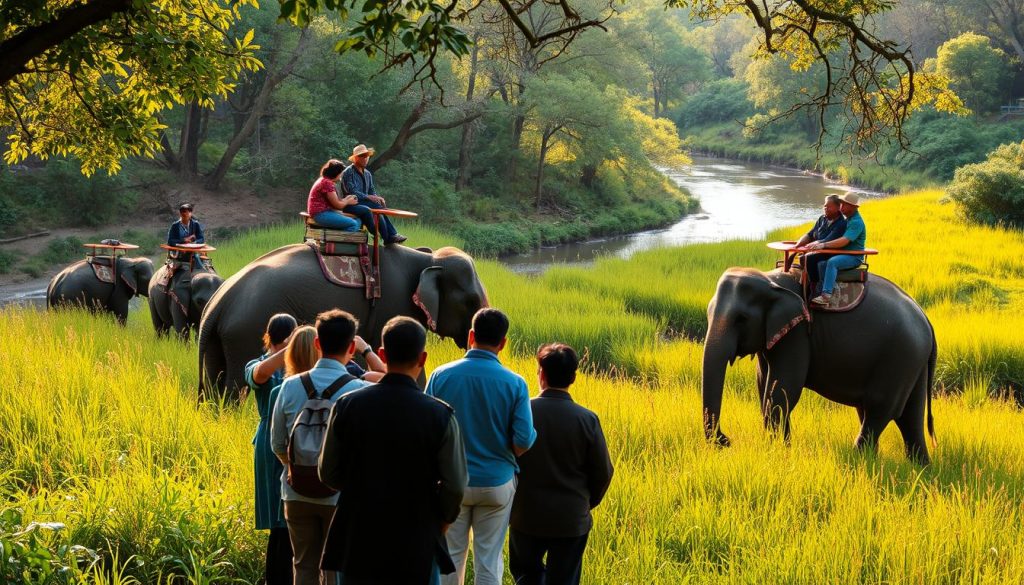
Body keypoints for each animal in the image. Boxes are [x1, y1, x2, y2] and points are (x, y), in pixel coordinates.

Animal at [198, 244, 488, 399]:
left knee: (215, 383)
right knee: (235, 386)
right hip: (244, 332)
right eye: (471, 300)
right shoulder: (392, 302)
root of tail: (218, 302)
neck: (427, 259)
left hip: (223, 336)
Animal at [701, 267, 936, 464]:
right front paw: (784, 450)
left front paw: (775, 453)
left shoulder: (798, 333)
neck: (770, 279)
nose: (726, 441)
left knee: (880, 409)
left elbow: (783, 389)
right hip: (913, 360)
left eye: (741, 319)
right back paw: (919, 468)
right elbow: (764, 386)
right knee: (909, 415)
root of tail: (926, 320)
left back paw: (858, 458)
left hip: (900, 357)